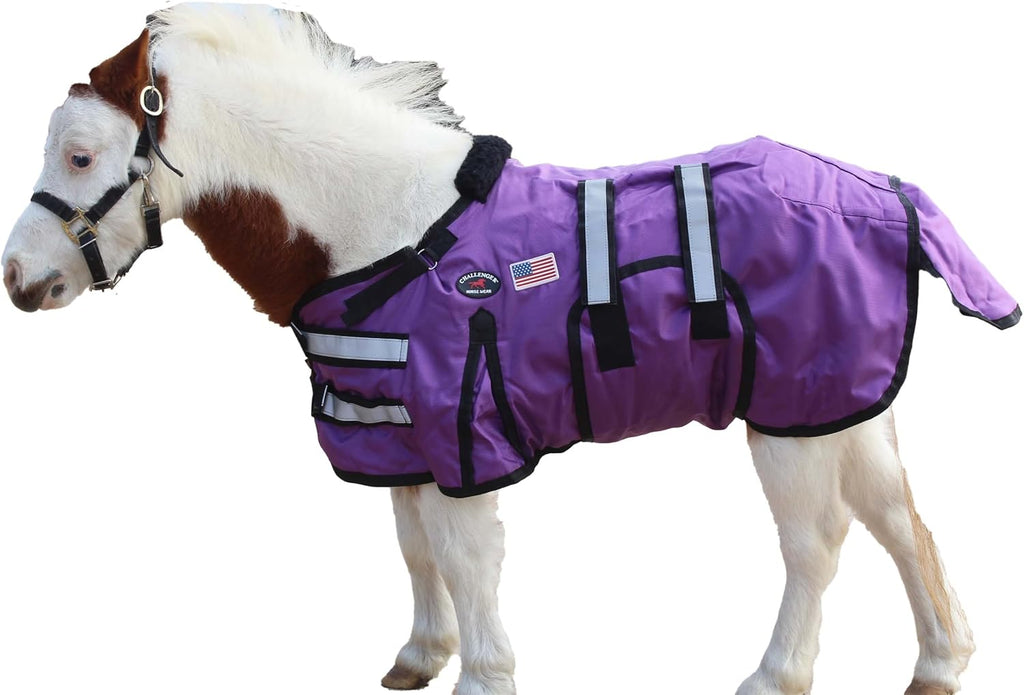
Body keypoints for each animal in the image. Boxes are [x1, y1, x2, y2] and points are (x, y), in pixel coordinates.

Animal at [2, 4, 1020, 694]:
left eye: (83, 156)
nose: (18, 278)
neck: (384, 228)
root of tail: (887, 192)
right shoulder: (397, 430)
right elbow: (413, 550)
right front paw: (421, 654)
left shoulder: (465, 427)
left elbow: (464, 558)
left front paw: (484, 673)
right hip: (838, 404)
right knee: (899, 520)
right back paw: (939, 660)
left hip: (788, 418)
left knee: (817, 541)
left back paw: (775, 673)